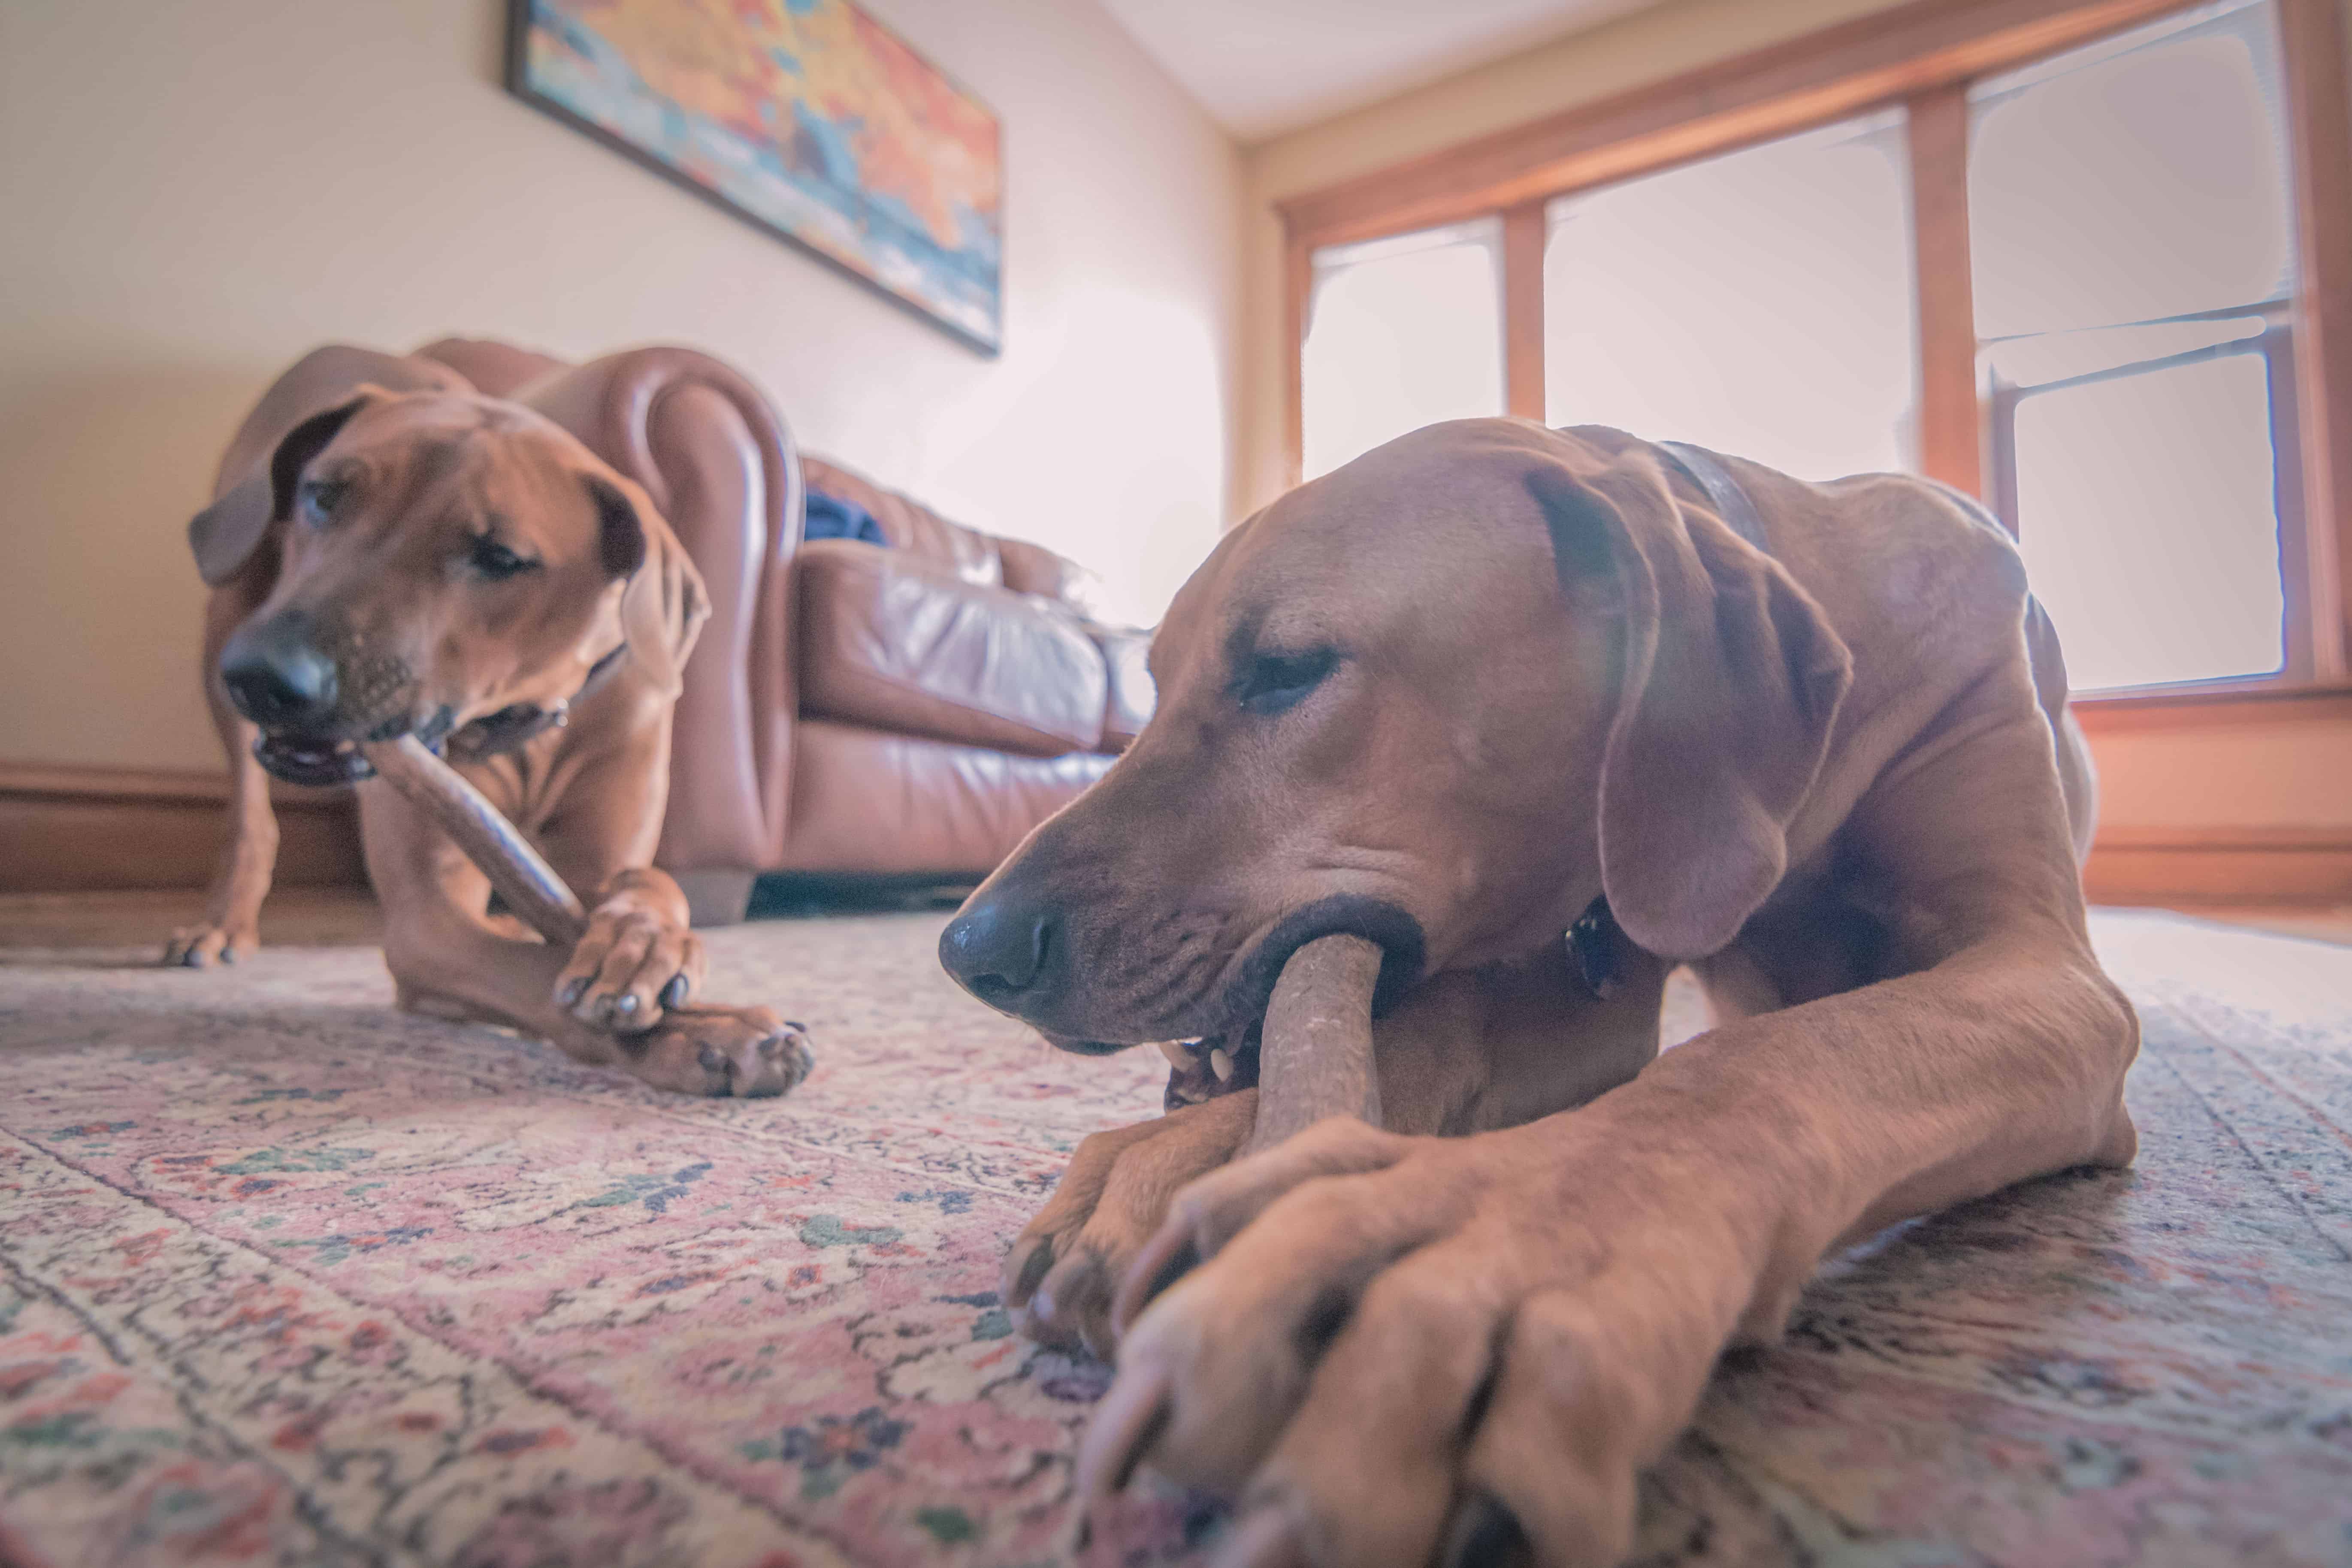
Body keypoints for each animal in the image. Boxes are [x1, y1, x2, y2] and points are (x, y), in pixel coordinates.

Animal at [168, 350, 809, 1100]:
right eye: (323, 496)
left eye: (500, 557)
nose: (268, 676)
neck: (521, 717)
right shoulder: (429, 922)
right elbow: (535, 975)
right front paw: (707, 1036)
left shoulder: (601, 847)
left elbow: (651, 884)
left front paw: (646, 941)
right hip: (228, 605)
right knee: (250, 812)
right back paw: (220, 924)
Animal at [936, 420, 2135, 1568]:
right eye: (1149, 688)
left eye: (1286, 667)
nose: (967, 949)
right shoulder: (1587, 960)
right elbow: (1440, 1028)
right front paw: (1196, 1155)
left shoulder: (2043, 969)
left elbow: (1759, 1061)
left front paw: (1499, 1244)